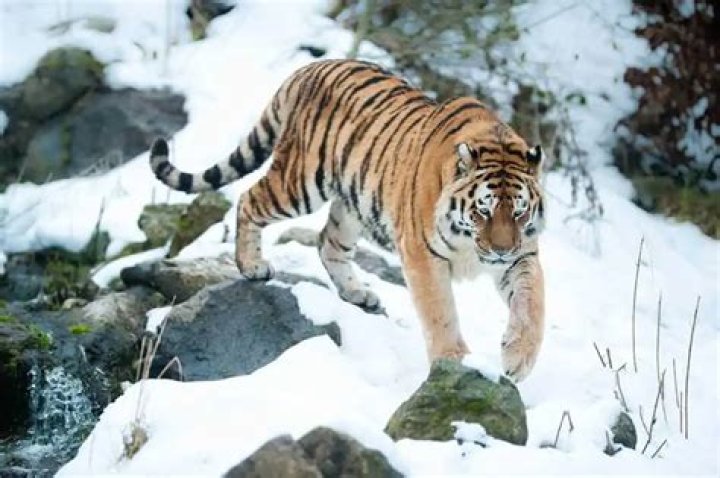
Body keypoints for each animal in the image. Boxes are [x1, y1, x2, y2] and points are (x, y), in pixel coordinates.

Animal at [150, 59, 546, 381]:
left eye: (519, 211)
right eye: (483, 210)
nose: (500, 251)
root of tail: (310, 68)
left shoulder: (522, 254)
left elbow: (532, 304)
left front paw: (518, 360)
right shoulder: (423, 254)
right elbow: (440, 312)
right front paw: (454, 360)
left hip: (354, 202)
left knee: (328, 242)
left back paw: (358, 293)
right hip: (300, 183)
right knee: (250, 199)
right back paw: (252, 266)